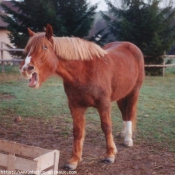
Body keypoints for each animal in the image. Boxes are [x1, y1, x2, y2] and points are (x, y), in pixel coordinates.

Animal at [19, 24, 144, 170]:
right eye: (28, 49)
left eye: (45, 47)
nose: (25, 68)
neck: (84, 72)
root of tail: (131, 46)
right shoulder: (75, 106)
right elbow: (78, 131)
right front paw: (74, 160)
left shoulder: (104, 104)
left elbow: (106, 127)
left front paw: (110, 155)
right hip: (121, 95)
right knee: (124, 113)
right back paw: (123, 134)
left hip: (133, 92)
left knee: (129, 112)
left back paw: (128, 140)